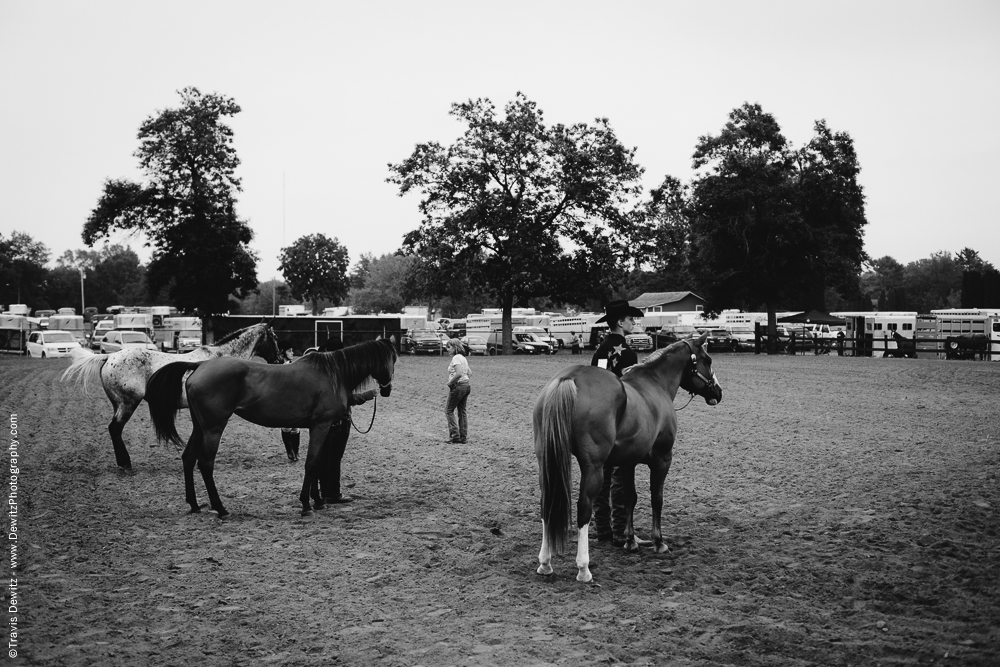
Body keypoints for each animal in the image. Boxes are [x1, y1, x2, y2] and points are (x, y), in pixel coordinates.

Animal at [145, 340, 394, 516]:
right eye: (391, 359)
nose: (387, 389)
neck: (332, 374)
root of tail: (200, 365)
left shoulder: (317, 428)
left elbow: (316, 463)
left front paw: (318, 500)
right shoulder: (321, 426)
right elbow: (312, 463)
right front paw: (306, 504)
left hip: (200, 428)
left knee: (188, 458)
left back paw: (195, 505)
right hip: (213, 429)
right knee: (205, 463)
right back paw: (221, 508)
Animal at [536, 334, 724, 584]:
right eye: (708, 360)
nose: (718, 392)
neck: (655, 385)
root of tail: (569, 378)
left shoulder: (627, 462)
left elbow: (629, 499)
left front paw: (630, 540)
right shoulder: (663, 459)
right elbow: (656, 499)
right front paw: (658, 542)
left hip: (546, 463)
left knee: (547, 503)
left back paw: (545, 563)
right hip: (593, 467)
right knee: (584, 507)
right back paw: (583, 568)